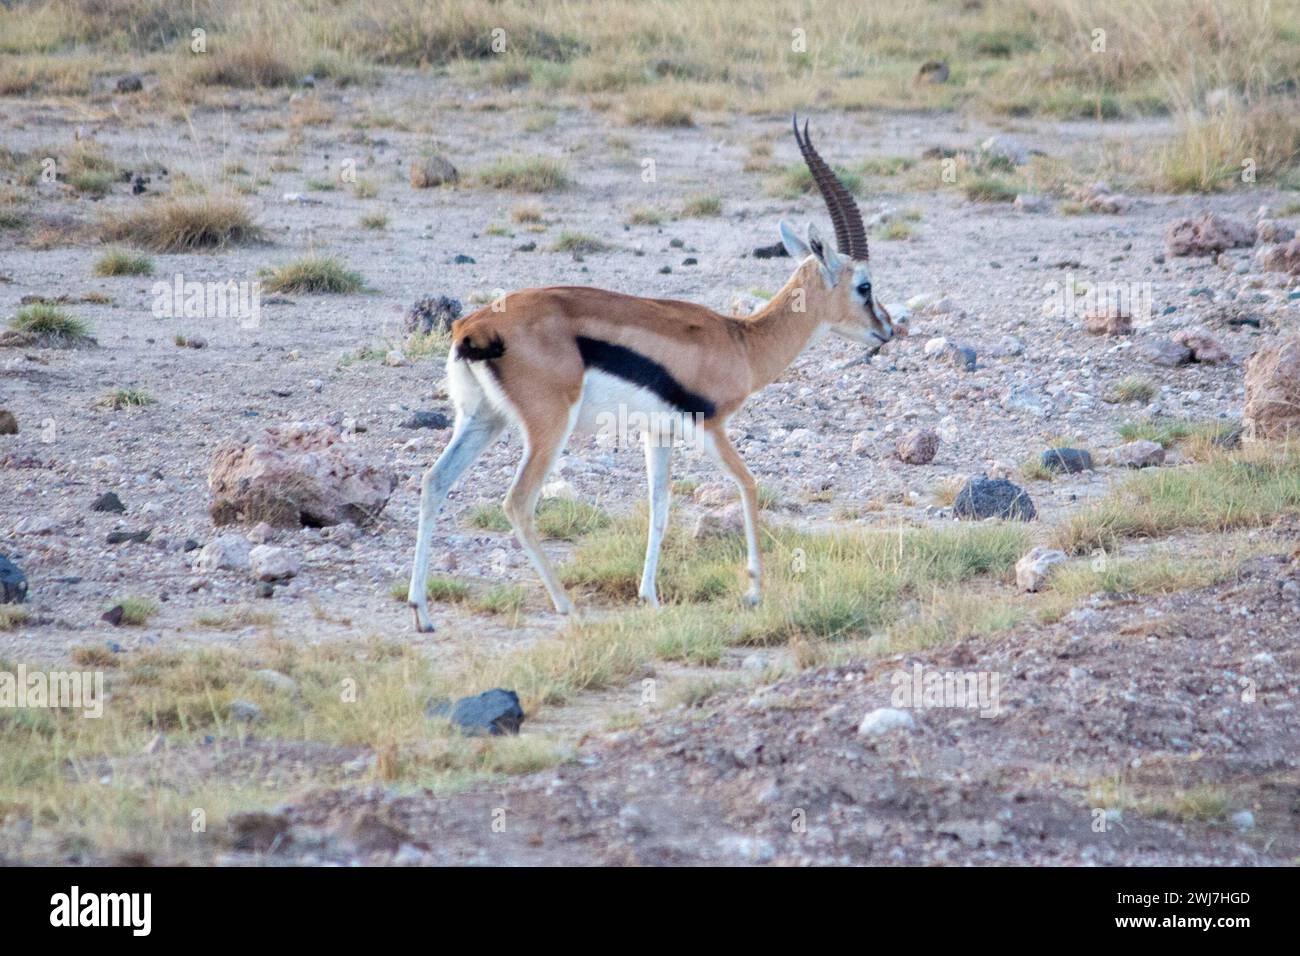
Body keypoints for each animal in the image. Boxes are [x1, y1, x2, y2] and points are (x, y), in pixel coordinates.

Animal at [408, 116, 903, 633]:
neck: (742, 342)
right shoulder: (710, 425)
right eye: (864, 286)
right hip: (548, 426)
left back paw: (422, 611)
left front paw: (650, 595)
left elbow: (659, 505)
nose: (888, 329)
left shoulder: (657, 432)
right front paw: (753, 591)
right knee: (518, 502)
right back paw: (566, 605)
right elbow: (748, 485)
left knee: (434, 482)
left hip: (484, 419)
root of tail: (473, 327)